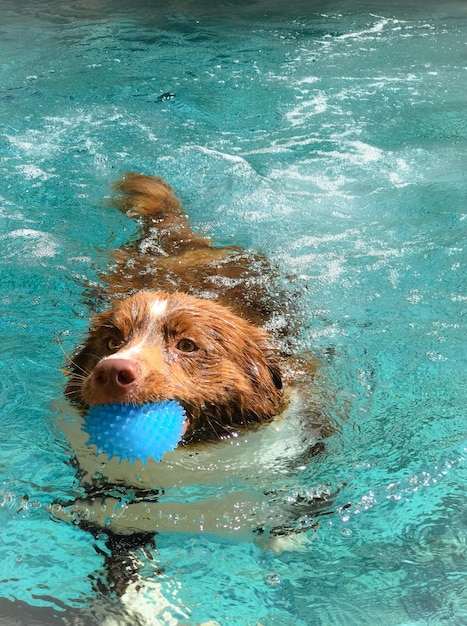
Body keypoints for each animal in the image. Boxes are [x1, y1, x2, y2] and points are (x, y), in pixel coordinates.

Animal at [54, 174, 332, 608]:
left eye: (187, 345)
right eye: (112, 340)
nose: (113, 370)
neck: (195, 454)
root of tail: (181, 239)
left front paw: (286, 539)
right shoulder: (109, 485)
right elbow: (124, 540)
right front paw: (140, 599)